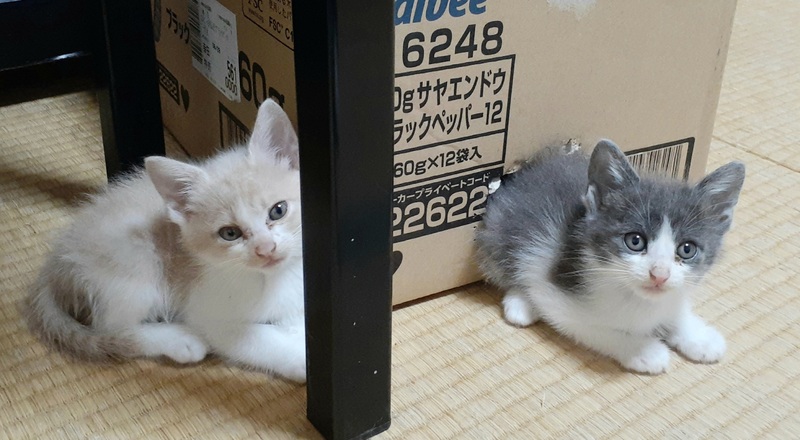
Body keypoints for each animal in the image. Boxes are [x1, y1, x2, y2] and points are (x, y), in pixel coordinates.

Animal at [25, 99, 307, 382]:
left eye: (278, 210)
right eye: (230, 233)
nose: (266, 249)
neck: (278, 276)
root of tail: (56, 261)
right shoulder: (207, 311)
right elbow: (252, 337)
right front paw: (299, 358)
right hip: (135, 260)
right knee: (112, 327)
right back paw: (179, 340)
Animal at [475, 140, 745, 374]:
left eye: (687, 249)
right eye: (635, 241)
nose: (659, 275)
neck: (637, 300)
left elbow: (673, 310)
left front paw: (699, 336)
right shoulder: (555, 293)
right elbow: (596, 327)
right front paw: (644, 350)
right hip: (497, 237)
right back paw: (520, 305)